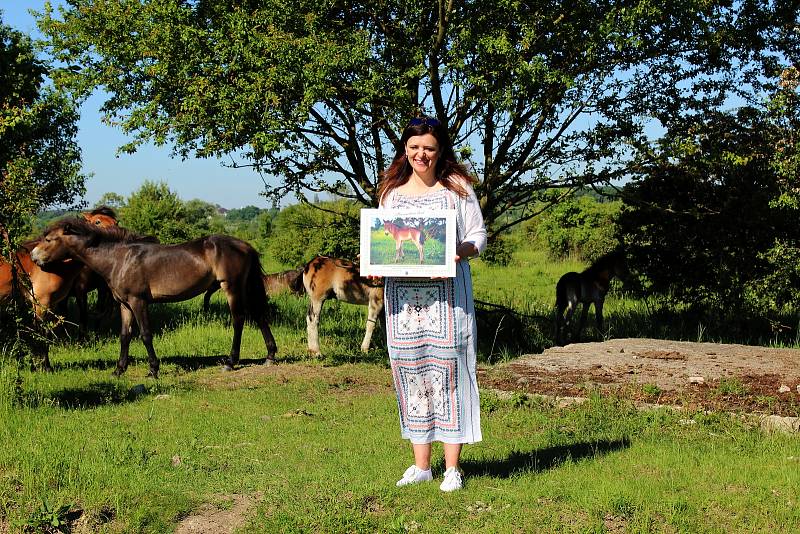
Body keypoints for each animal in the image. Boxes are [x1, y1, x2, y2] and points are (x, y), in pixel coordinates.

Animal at [31, 219, 276, 382]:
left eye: (49, 239)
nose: (33, 257)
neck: (119, 259)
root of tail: (245, 246)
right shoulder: (125, 305)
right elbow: (125, 336)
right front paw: (119, 369)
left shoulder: (138, 302)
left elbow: (145, 335)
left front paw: (153, 370)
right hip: (245, 288)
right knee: (259, 316)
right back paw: (270, 355)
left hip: (231, 288)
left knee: (239, 319)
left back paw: (230, 362)